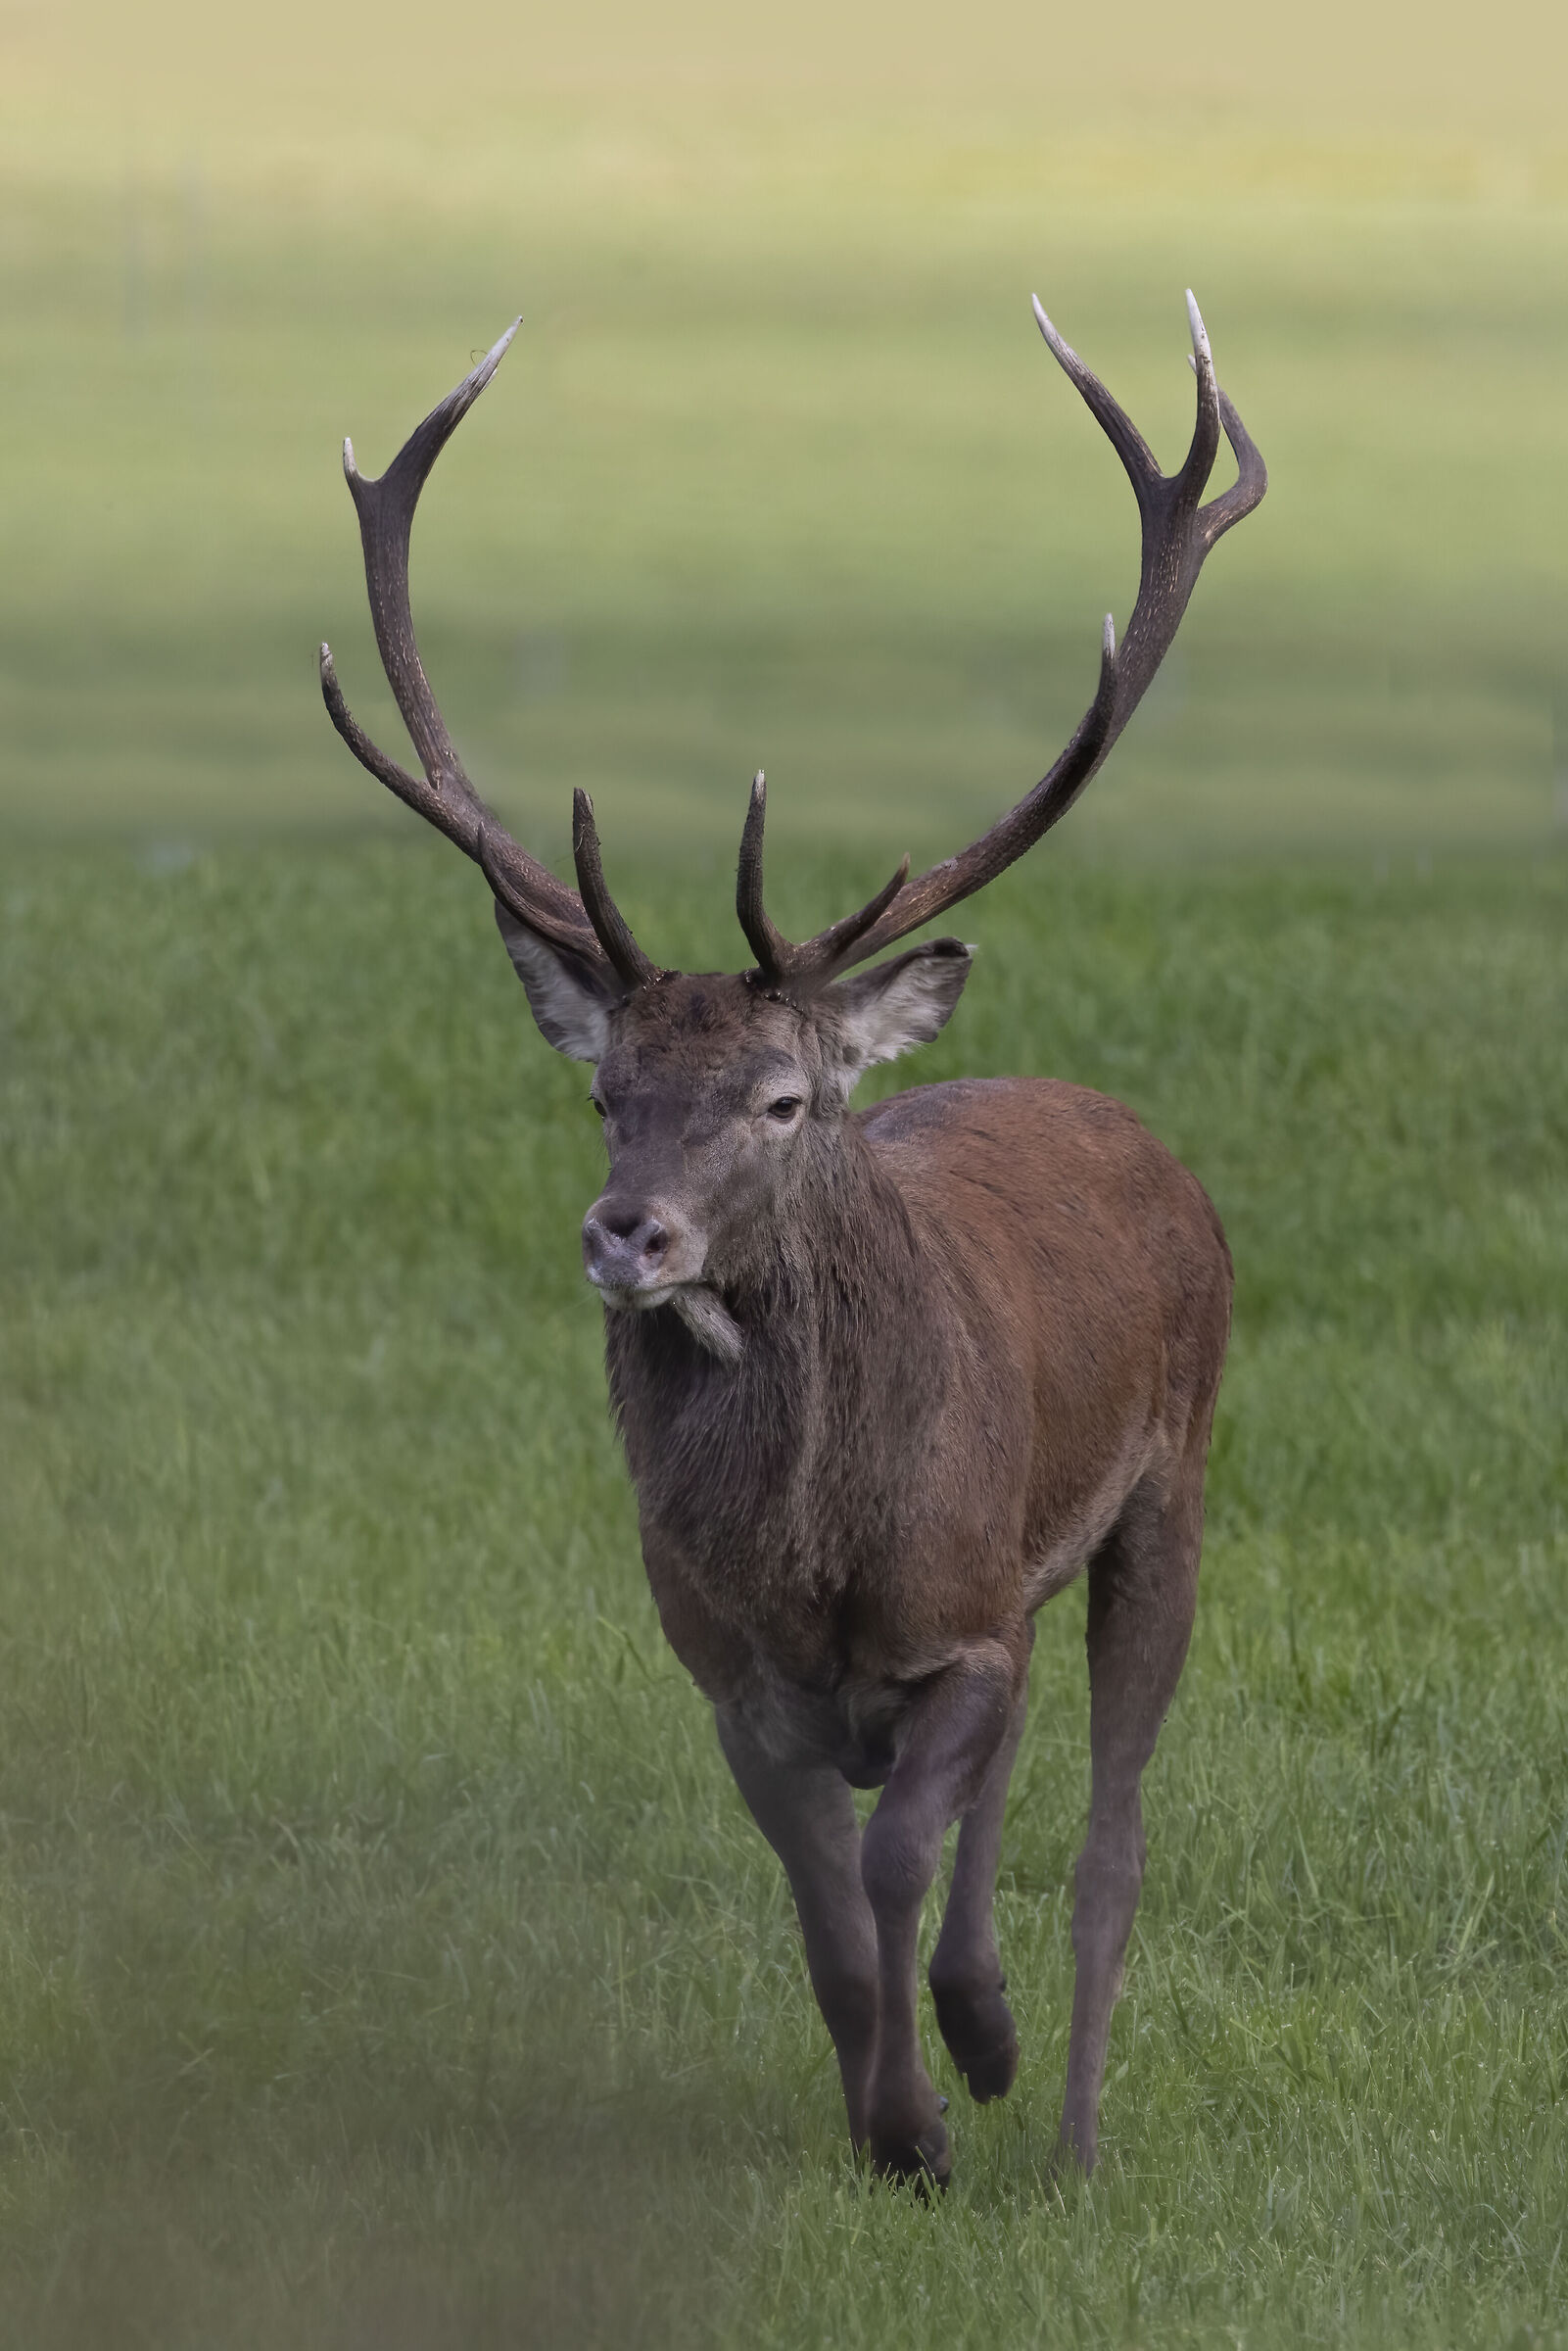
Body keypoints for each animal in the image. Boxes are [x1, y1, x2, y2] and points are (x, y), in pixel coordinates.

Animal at [319, 293, 1265, 2188]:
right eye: (604, 1090)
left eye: (778, 1100)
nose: (629, 1233)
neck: (821, 1563)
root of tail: (1111, 1111)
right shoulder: (727, 1675)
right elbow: (829, 1914)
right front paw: (894, 2112)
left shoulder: (960, 1622)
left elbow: (900, 1856)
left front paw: (933, 2111)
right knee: (1010, 1782)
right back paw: (980, 2038)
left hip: (1170, 1483)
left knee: (1108, 1833)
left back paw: (1062, 2129)